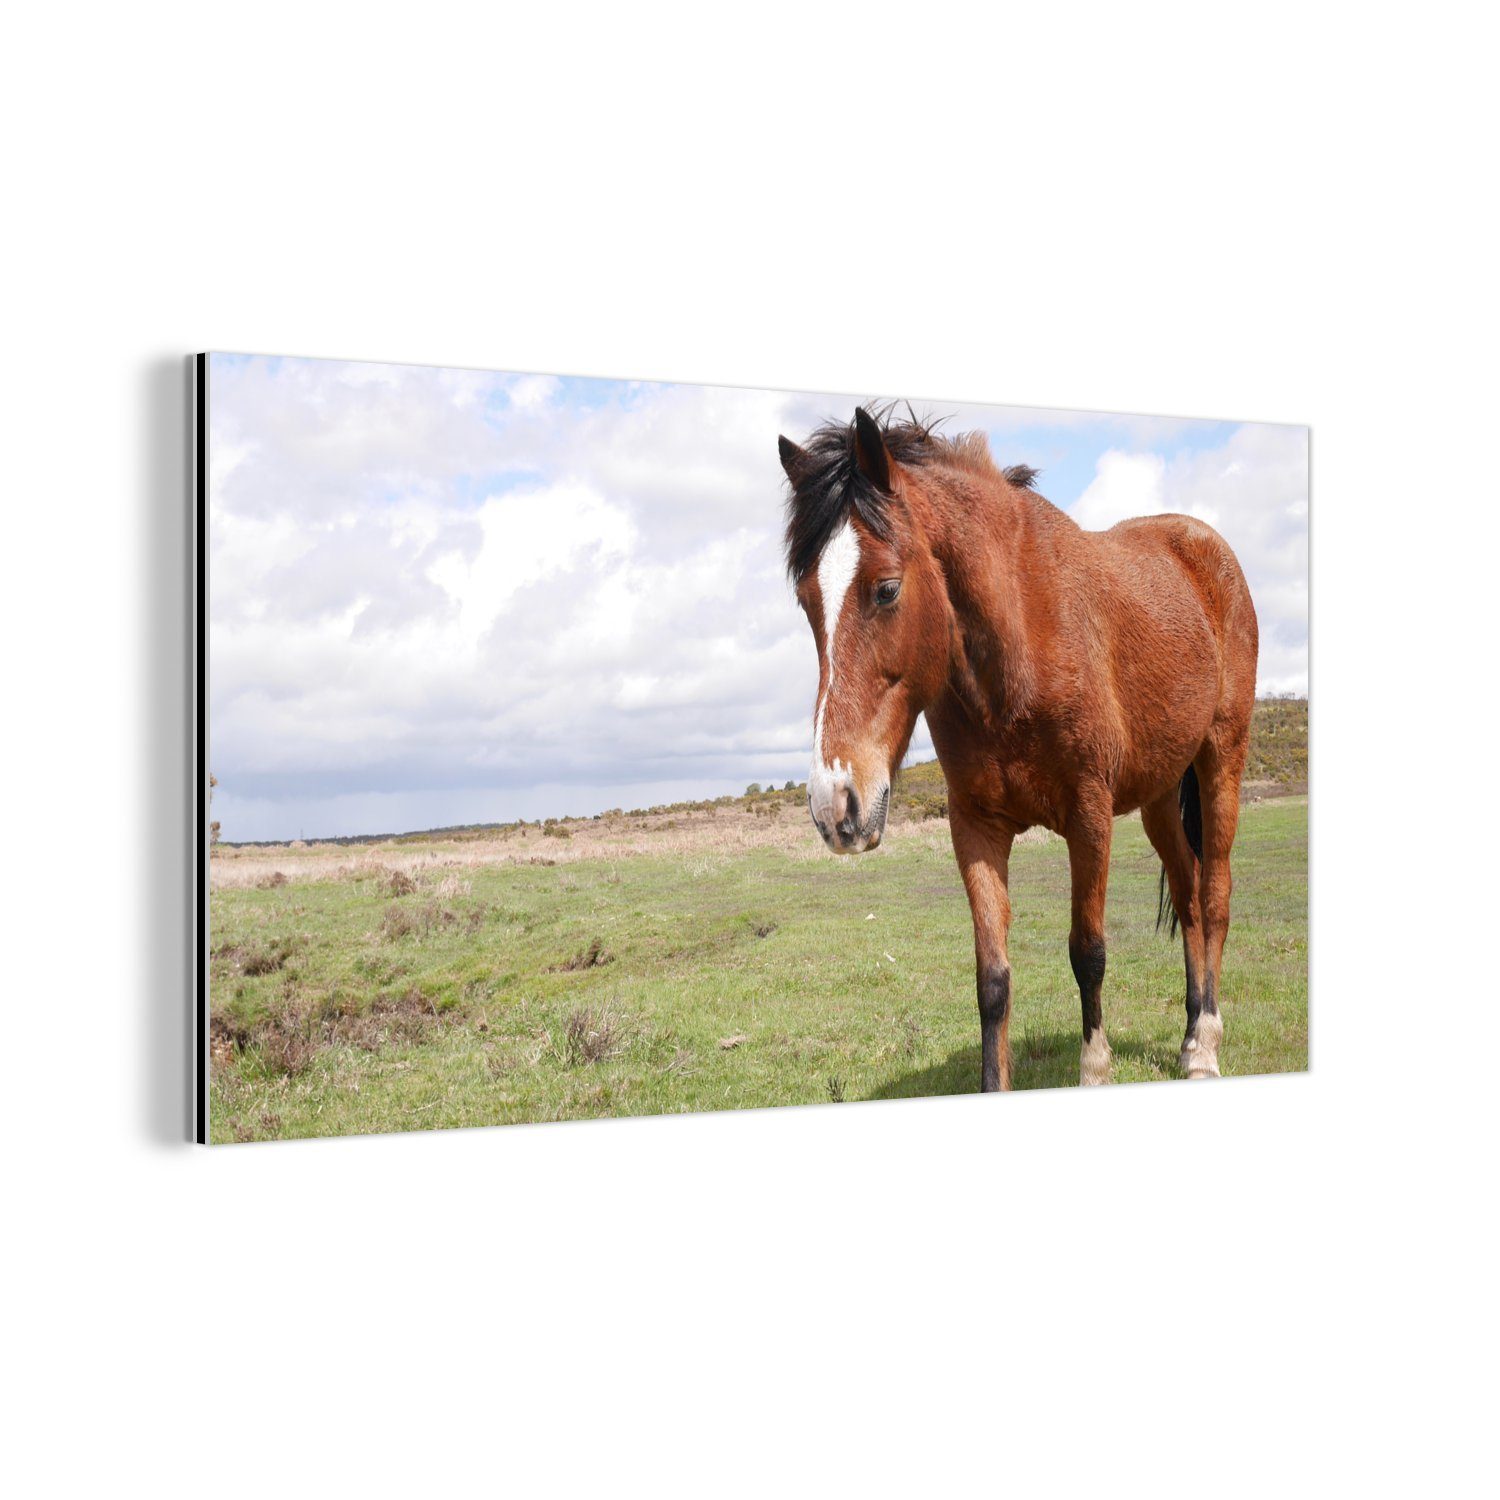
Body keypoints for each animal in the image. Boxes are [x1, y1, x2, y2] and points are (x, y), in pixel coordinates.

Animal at [777, 405, 1259, 1089]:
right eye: (806, 600)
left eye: (887, 589)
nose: (833, 805)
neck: (1019, 646)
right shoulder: (976, 827)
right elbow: (992, 980)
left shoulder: (1089, 817)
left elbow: (1088, 953)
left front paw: (1094, 1069)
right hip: (1161, 794)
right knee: (1190, 897)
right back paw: (1190, 1034)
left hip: (1221, 758)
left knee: (1214, 896)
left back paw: (1206, 1046)